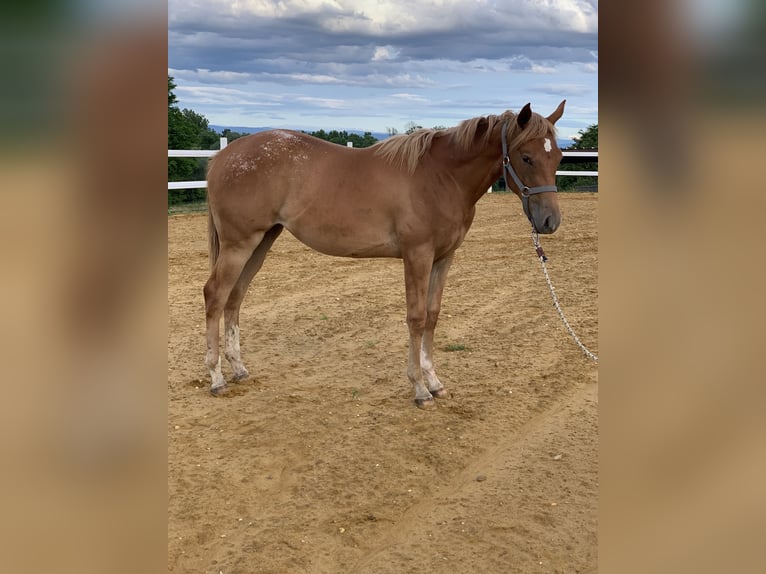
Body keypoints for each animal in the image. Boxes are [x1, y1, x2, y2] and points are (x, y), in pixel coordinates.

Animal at [206, 102, 568, 410]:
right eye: (526, 157)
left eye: (559, 157)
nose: (549, 222)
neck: (441, 176)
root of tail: (224, 156)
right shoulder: (417, 255)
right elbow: (416, 318)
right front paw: (420, 389)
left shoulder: (444, 257)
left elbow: (433, 315)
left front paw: (434, 382)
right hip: (240, 244)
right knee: (215, 295)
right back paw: (216, 377)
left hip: (261, 241)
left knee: (235, 298)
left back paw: (238, 369)